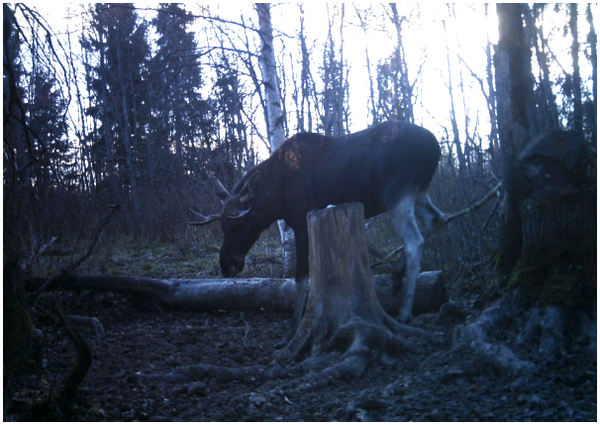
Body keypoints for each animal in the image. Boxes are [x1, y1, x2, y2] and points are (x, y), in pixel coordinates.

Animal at [190, 119, 448, 344]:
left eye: (240, 224)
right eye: (221, 227)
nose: (227, 265)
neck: (276, 199)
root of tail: (434, 144)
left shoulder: (301, 221)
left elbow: (301, 277)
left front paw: (291, 333)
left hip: (397, 193)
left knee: (415, 240)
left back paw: (404, 311)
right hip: (419, 191)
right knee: (438, 219)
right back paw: (396, 276)